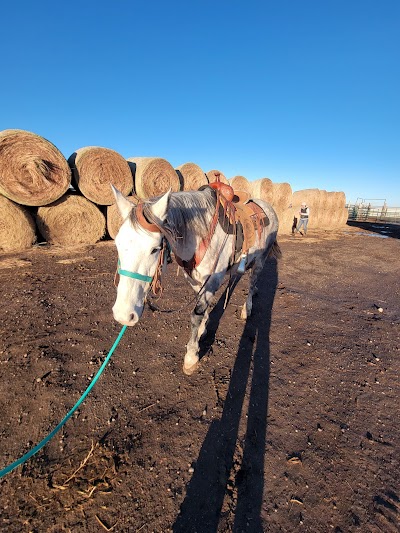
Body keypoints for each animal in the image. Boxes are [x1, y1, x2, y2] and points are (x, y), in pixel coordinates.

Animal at [111, 183, 282, 374]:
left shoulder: (213, 278)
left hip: (261, 259)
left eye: (155, 249)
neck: (202, 234)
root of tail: (268, 207)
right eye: (118, 244)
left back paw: (247, 309)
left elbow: (196, 315)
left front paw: (191, 356)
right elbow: (202, 309)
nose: (123, 315)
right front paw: (203, 329)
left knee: (252, 283)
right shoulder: (194, 278)